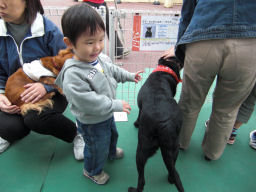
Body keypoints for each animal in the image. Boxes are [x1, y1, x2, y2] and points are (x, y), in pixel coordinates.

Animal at [130, 56, 184, 191]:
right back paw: (170, 179)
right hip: (174, 148)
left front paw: (136, 123)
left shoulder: (140, 107)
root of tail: (165, 125)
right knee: (173, 170)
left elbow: (139, 114)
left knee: (142, 180)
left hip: (142, 148)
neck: (163, 71)